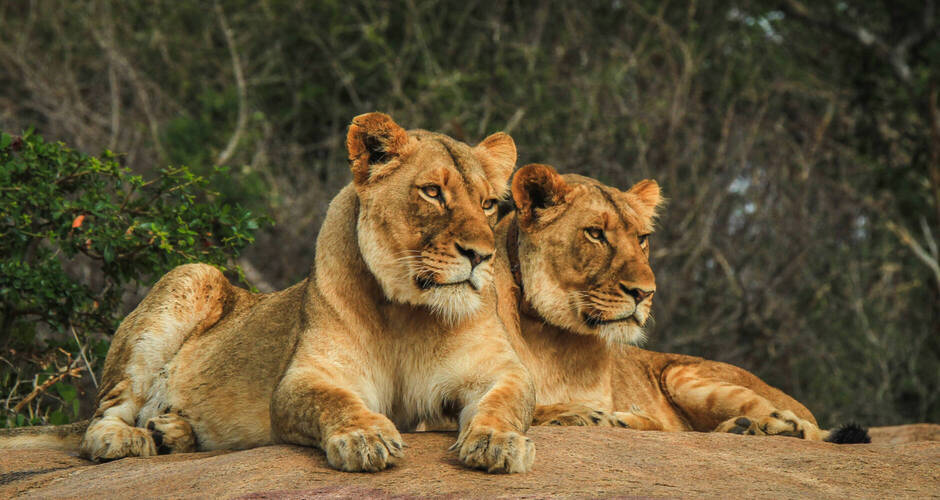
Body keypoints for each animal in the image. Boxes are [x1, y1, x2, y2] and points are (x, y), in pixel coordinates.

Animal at [1, 113, 537, 473]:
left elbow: (507, 401)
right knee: (99, 422)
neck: (411, 311)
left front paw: (499, 443)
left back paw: (172, 431)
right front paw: (365, 437)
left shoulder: (499, 370)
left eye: (489, 204)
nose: (481, 256)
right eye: (432, 192)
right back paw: (134, 440)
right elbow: (333, 401)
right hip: (190, 275)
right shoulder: (305, 377)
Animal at [491, 163, 868, 443]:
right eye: (595, 234)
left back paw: (765, 425)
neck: (551, 337)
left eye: (642, 238)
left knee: (808, 429)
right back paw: (739, 427)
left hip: (682, 374)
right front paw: (577, 414)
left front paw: (602, 418)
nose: (644, 293)